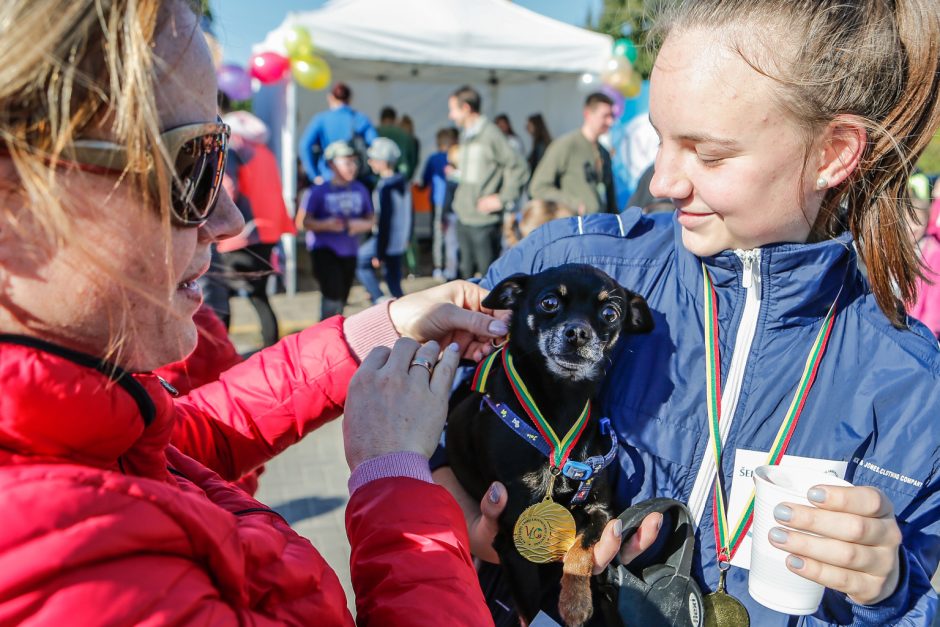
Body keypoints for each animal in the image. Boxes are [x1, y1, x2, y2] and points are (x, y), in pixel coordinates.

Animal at [444, 262, 648, 624]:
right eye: (549, 303)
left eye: (610, 313)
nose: (578, 333)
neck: (560, 407)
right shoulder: (512, 541)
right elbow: (530, 608)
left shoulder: (600, 508)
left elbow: (582, 548)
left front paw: (575, 602)